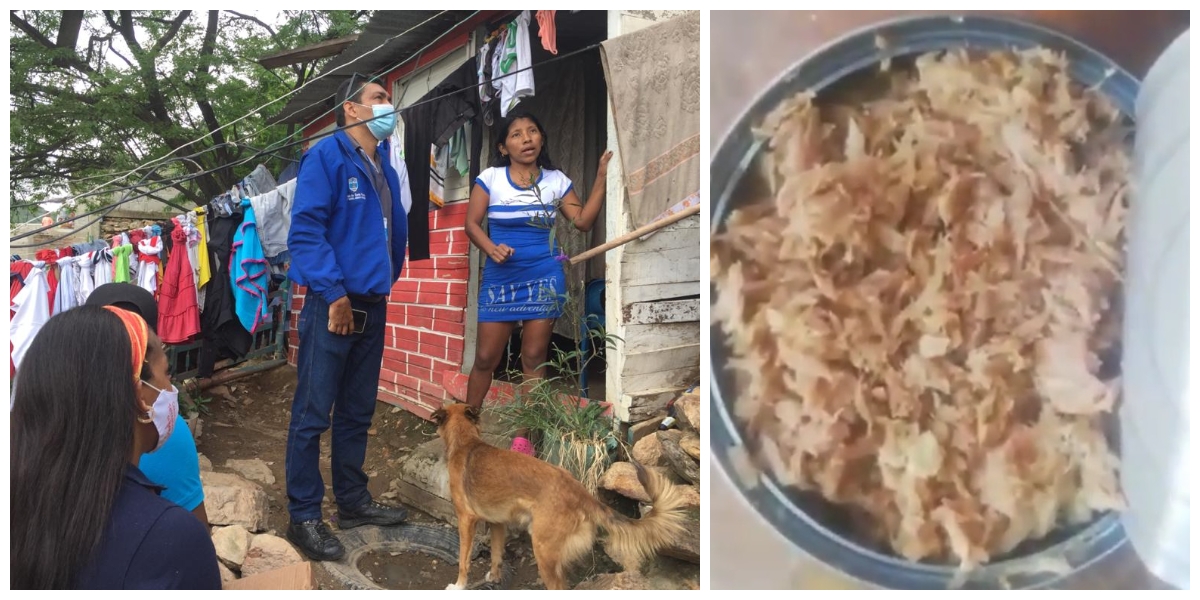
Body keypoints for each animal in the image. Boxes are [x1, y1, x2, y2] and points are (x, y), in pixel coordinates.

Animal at [436, 403, 691, 590]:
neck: (466, 442)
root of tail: (580, 492)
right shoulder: (498, 523)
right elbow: (496, 555)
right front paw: (494, 577)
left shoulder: (466, 520)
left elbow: (463, 560)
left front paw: (458, 586)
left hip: (543, 550)